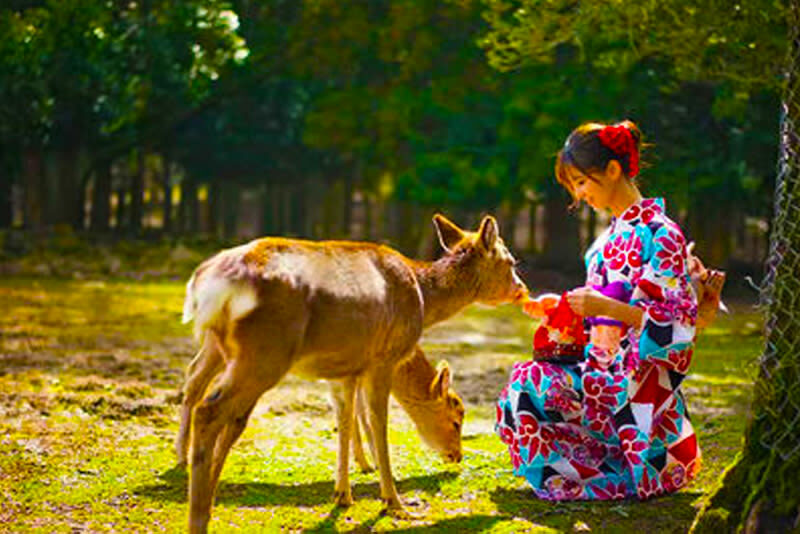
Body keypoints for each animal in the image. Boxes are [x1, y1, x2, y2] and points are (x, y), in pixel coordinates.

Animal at [179, 213, 528, 533]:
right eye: (510, 261)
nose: (522, 290)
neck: (422, 300)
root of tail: (210, 284)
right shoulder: (382, 360)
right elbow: (378, 425)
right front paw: (395, 503)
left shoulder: (346, 369)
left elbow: (345, 421)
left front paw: (343, 494)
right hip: (264, 353)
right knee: (210, 410)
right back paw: (198, 514)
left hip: (236, 352)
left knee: (221, 408)